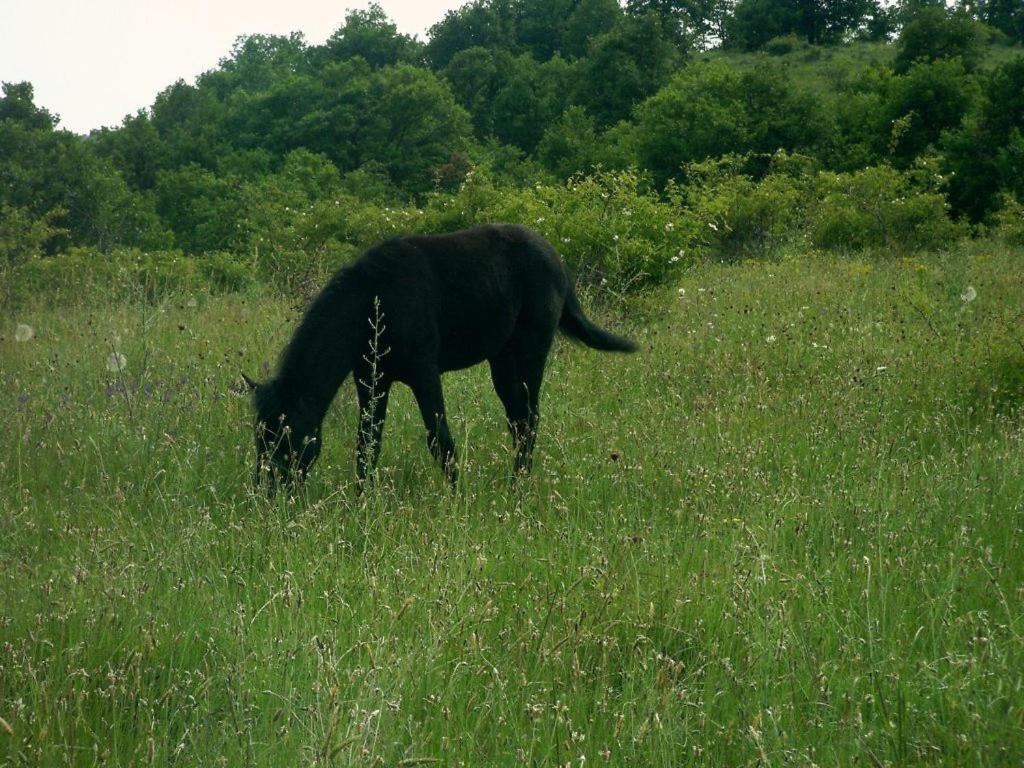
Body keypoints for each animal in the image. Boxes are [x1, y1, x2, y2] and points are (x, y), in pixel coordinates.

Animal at [243, 222, 634, 489]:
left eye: (286, 437)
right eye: (260, 438)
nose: (267, 491)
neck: (373, 302)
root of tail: (557, 260)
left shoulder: (424, 373)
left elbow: (439, 439)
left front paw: (455, 496)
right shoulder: (371, 379)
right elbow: (367, 443)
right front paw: (363, 499)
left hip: (531, 352)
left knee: (530, 420)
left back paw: (518, 486)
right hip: (502, 360)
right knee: (518, 420)